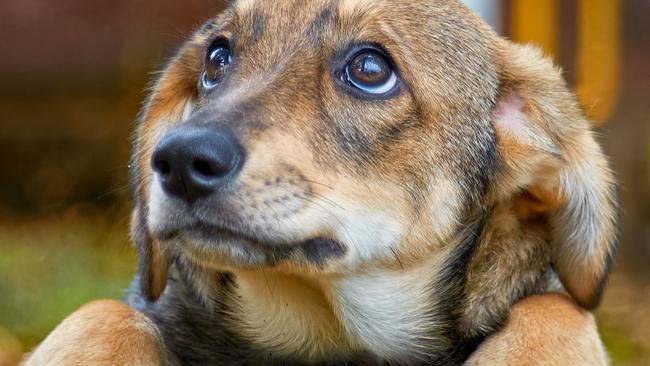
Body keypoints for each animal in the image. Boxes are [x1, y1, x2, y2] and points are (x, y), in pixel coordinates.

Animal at [24, 0, 612, 364]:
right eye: (218, 57)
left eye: (371, 69)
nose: (177, 159)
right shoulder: (117, 313)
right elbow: (103, 314)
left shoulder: (552, 308)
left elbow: (558, 309)